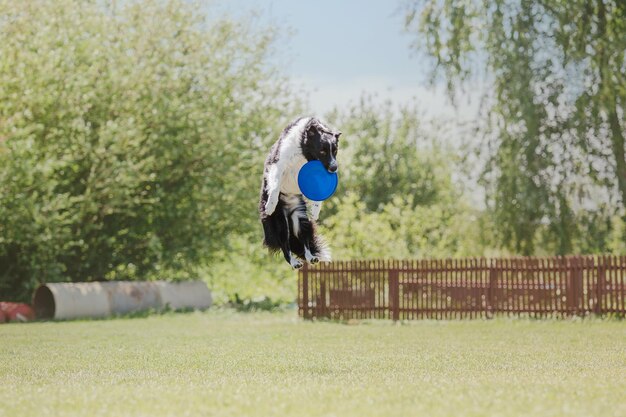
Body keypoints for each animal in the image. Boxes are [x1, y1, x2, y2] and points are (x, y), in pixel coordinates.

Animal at [256, 116, 338, 270]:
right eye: (323, 151)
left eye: (335, 151)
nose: (334, 168)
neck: (304, 152)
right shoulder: (278, 164)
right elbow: (275, 186)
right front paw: (270, 204)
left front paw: (315, 211)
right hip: (281, 223)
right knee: (285, 245)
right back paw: (294, 263)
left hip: (300, 219)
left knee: (304, 241)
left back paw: (311, 257)